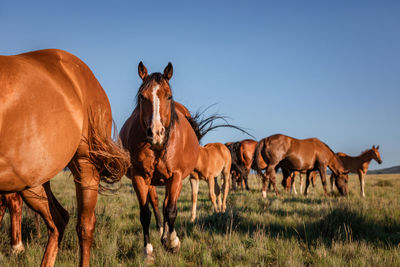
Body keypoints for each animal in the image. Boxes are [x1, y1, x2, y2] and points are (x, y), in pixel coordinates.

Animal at [118, 62, 200, 262]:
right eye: (142, 96)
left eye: (168, 96)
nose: (156, 133)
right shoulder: (140, 177)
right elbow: (145, 213)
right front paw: (148, 251)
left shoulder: (176, 176)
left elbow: (171, 210)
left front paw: (173, 242)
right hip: (151, 182)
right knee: (156, 204)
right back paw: (162, 233)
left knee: (166, 206)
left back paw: (167, 237)